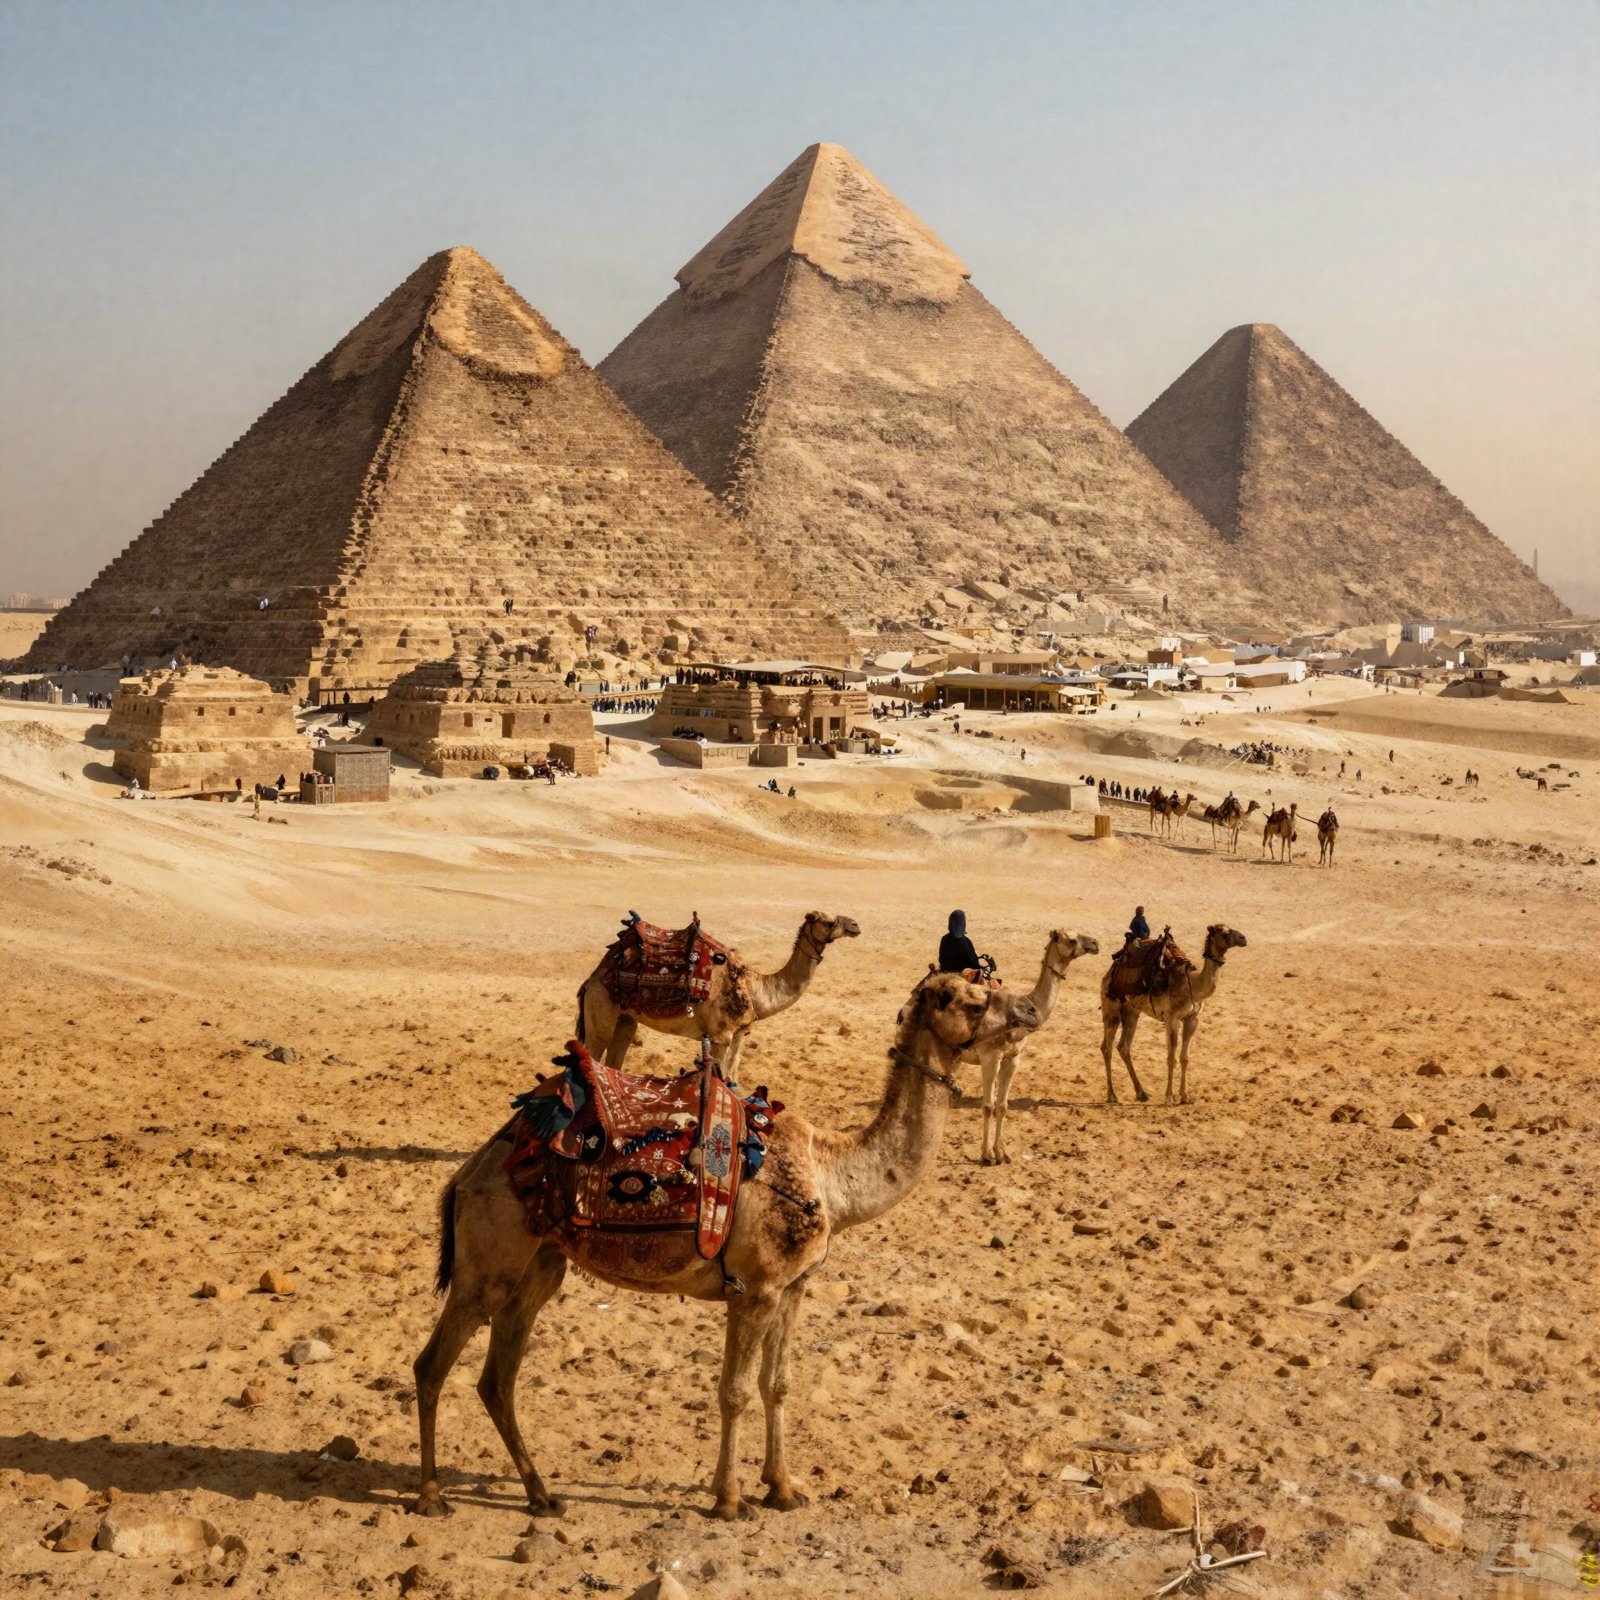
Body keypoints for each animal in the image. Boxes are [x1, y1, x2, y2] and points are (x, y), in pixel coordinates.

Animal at [411, 973, 1040, 1522]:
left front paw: (783, 1489)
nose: (1031, 1009)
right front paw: (729, 1500)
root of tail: (470, 1169)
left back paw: (541, 1495)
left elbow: (777, 1384)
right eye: (976, 1000)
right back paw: (433, 1495)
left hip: (539, 1264)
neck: (830, 1177)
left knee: (498, 1378)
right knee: (432, 1363)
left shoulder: (792, 1287)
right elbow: (734, 1391)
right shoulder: (753, 1289)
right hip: (487, 1259)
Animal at [578, 911, 860, 1074]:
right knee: (594, 1052)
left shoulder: (739, 1035)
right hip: (600, 1011)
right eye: (828, 921)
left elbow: (733, 1078)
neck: (753, 988)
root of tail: (593, 977)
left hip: (626, 1018)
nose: (855, 925)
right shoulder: (720, 1036)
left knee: (617, 1053)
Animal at [975, 929, 1100, 1164]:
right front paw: (987, 1156)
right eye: (1071, 939)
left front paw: (1001, 1153)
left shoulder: (1013, 1058)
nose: (1095, 943)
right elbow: (988, 1106)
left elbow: (1002, 1106)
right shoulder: (990, 1057)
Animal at [1100, 924, 1248, 1105]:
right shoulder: (1172, 1018)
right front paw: (1169, 1097)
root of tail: (1110, 972)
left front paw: (1185, 1097)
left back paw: (1141, 1093)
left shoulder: (1192, 1019)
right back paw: (1112, 1095)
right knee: (1107, 1048)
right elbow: (1171, 1058)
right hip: (1111, 1007)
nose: (1243, 938)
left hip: (1131, 1012)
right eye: (1224, 933)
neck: (1192, 985)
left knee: (1123, 1047)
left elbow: (1185, 1058)